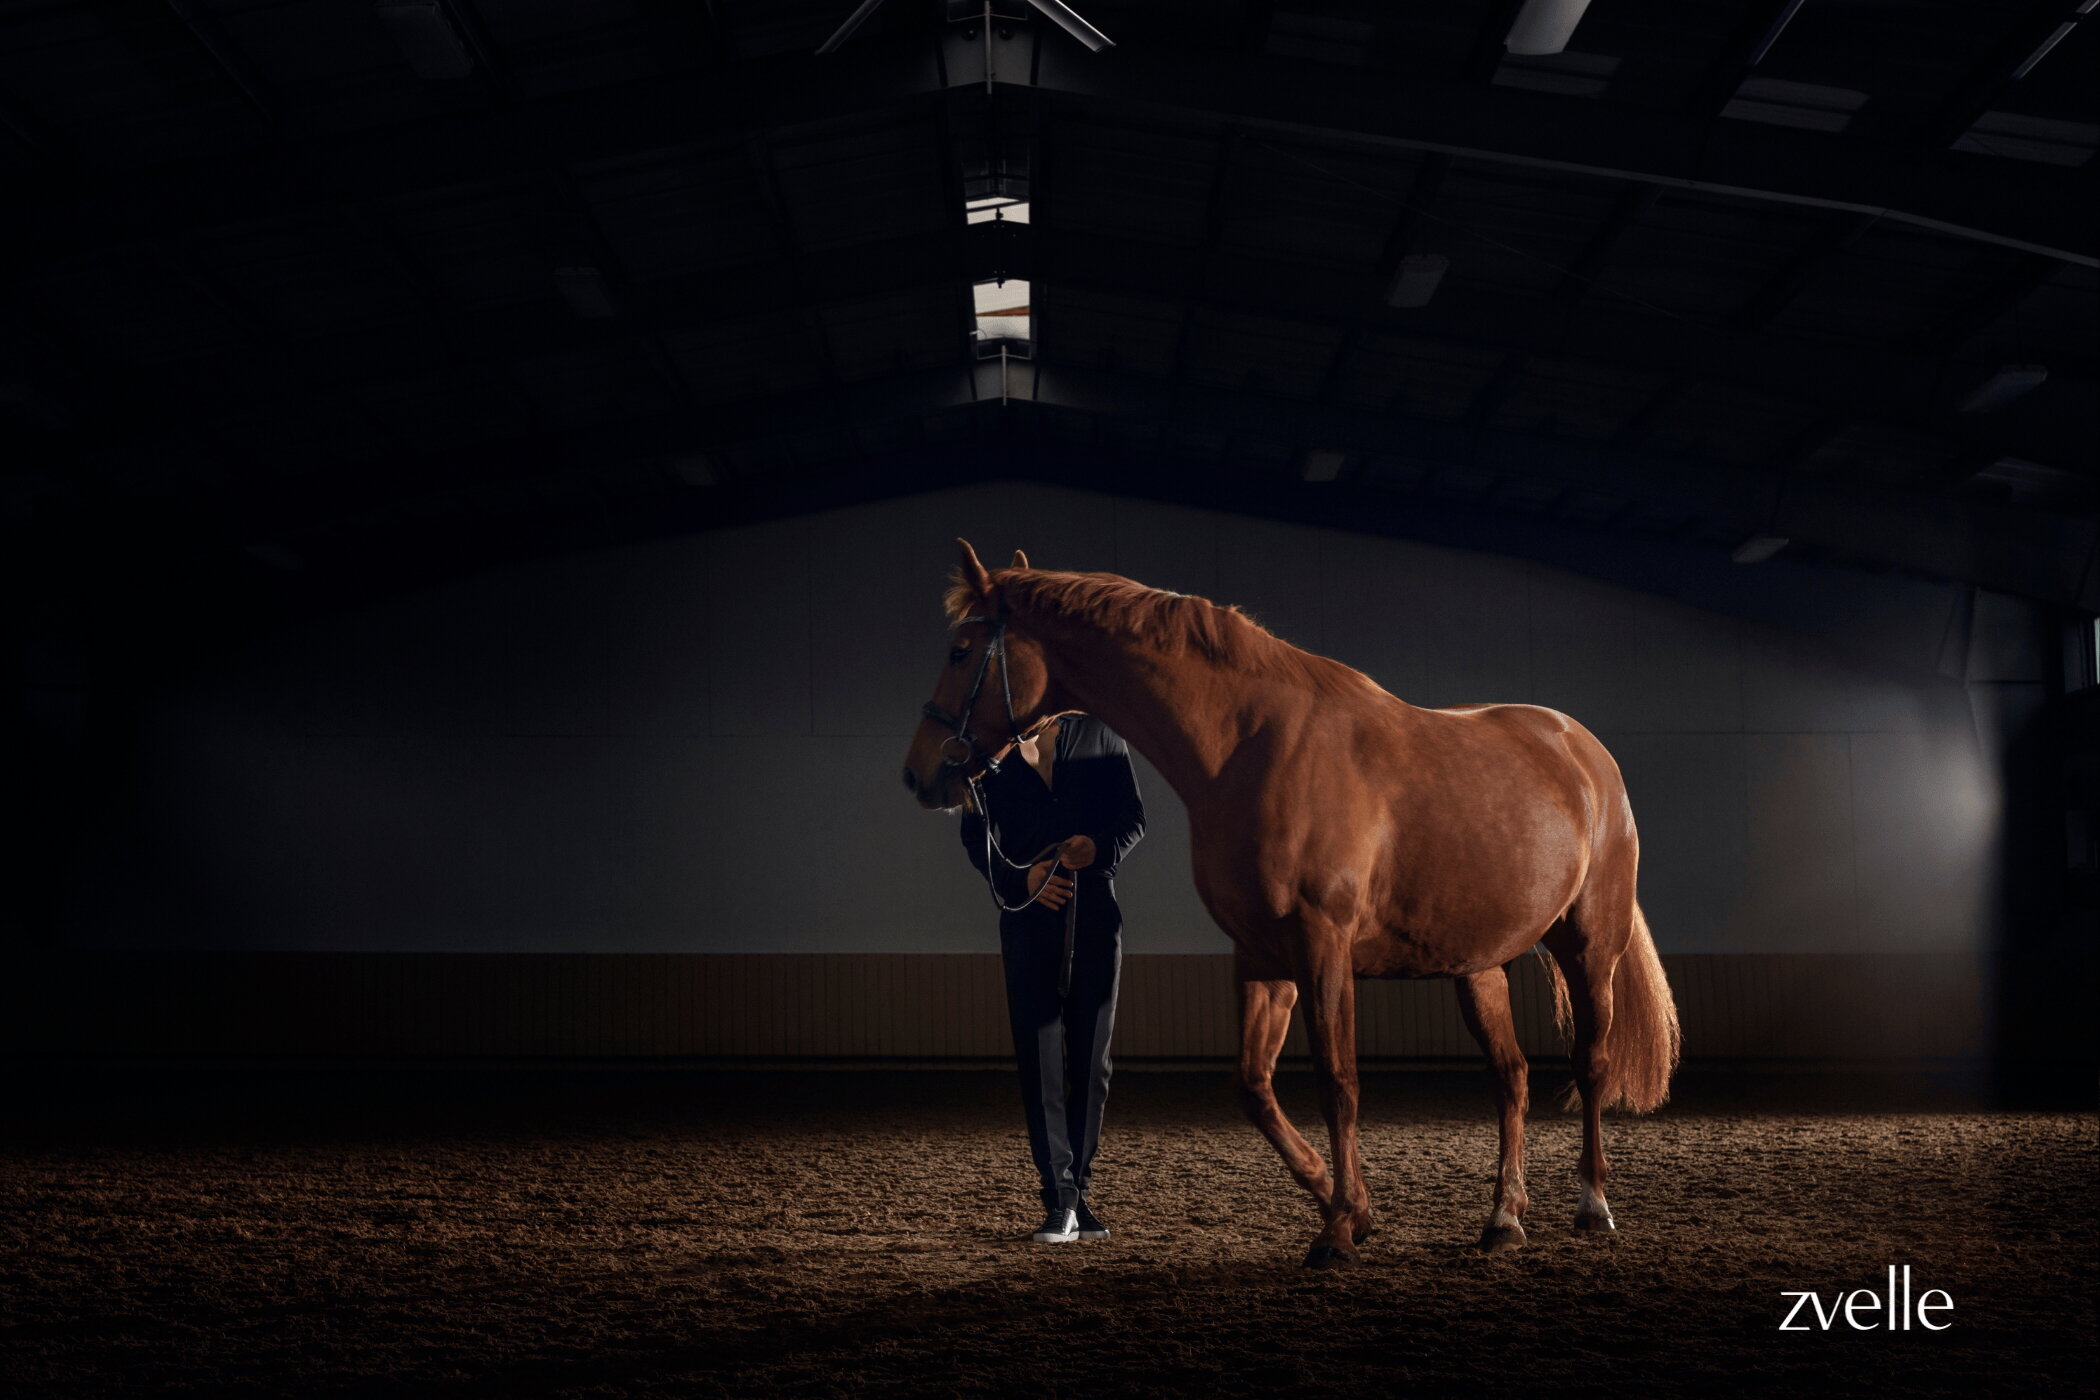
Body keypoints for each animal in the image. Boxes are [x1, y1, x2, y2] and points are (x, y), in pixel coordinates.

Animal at [902, 540, 1680, 1268]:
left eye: (961, 650)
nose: (919, 774)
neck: (1252, 743)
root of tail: (1584, 751)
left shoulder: (1321, 945)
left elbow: (1339, 1082)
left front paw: (1336, 1232)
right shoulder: (1262, 955)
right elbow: (1254, 1087)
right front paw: (1355, 1211)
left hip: (1590, 947)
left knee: (1590, 1062)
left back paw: (1592, 1206)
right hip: (1479, 966)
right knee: (1511, 1079)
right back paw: (1503, 1220)